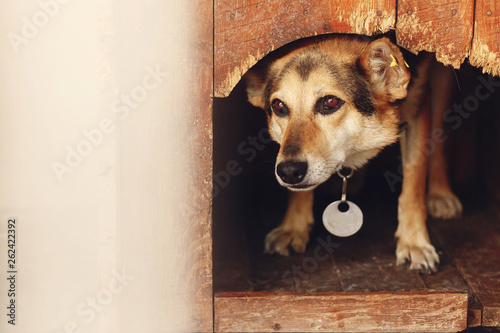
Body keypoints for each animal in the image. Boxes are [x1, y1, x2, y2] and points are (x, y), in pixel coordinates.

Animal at [244, 34, 462, 272]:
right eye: (278, 106)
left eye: (330, 102)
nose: (289, 172)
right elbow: (299, 192)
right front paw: (293, 227)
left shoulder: (418, 102)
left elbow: (413, 182)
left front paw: (414, 243)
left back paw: (440, 194)